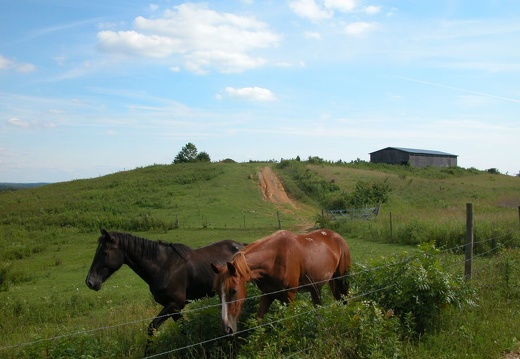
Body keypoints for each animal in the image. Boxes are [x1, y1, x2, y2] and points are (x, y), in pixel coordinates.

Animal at [86, 229, 245, 336]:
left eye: (105, 253)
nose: (90, 282)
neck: (163, 266)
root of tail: (241, 245)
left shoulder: (174, 304)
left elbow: (151, 328)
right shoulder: (173, 308)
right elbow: (183, 328)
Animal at [210, 229, 350, 336]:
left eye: (233, 290)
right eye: (217, 292)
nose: (227, 328)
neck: (274, 260)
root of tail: (337, 236)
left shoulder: (288, 297)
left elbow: (287, 324)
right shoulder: (267, 295)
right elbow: (258, 322)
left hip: (342, 280)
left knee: (343, 299)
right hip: (315, 287)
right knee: (319, 308)